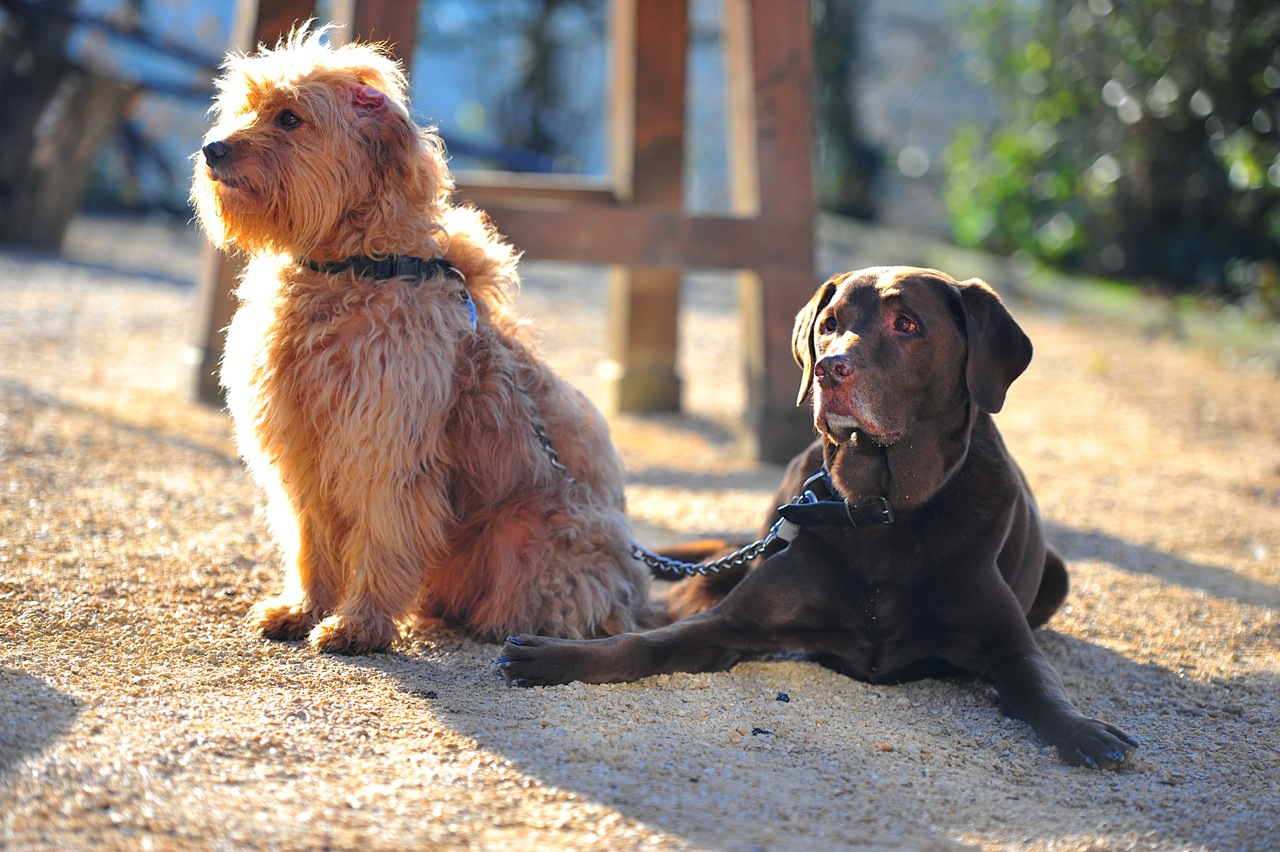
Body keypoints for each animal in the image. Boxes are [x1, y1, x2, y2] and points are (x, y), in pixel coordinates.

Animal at [194, 26, 665, 649]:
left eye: (290, 118)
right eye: (243, 108)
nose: (212, 149)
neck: (352, 270)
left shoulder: (385, 450)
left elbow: (383, 539)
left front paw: (359, 624)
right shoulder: (301, 451)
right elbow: (310, 542)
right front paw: (302, 609)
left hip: (527, 535)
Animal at [499, 267, 1141, 767]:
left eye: (907, 325)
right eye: (828, 324)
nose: (830, 369)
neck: (883, 512)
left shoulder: (1010, 649)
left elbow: (1043, 687)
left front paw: (1085, 730)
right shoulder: (732, 623)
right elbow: (645, 645)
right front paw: (557, 657)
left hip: (1059, 574)